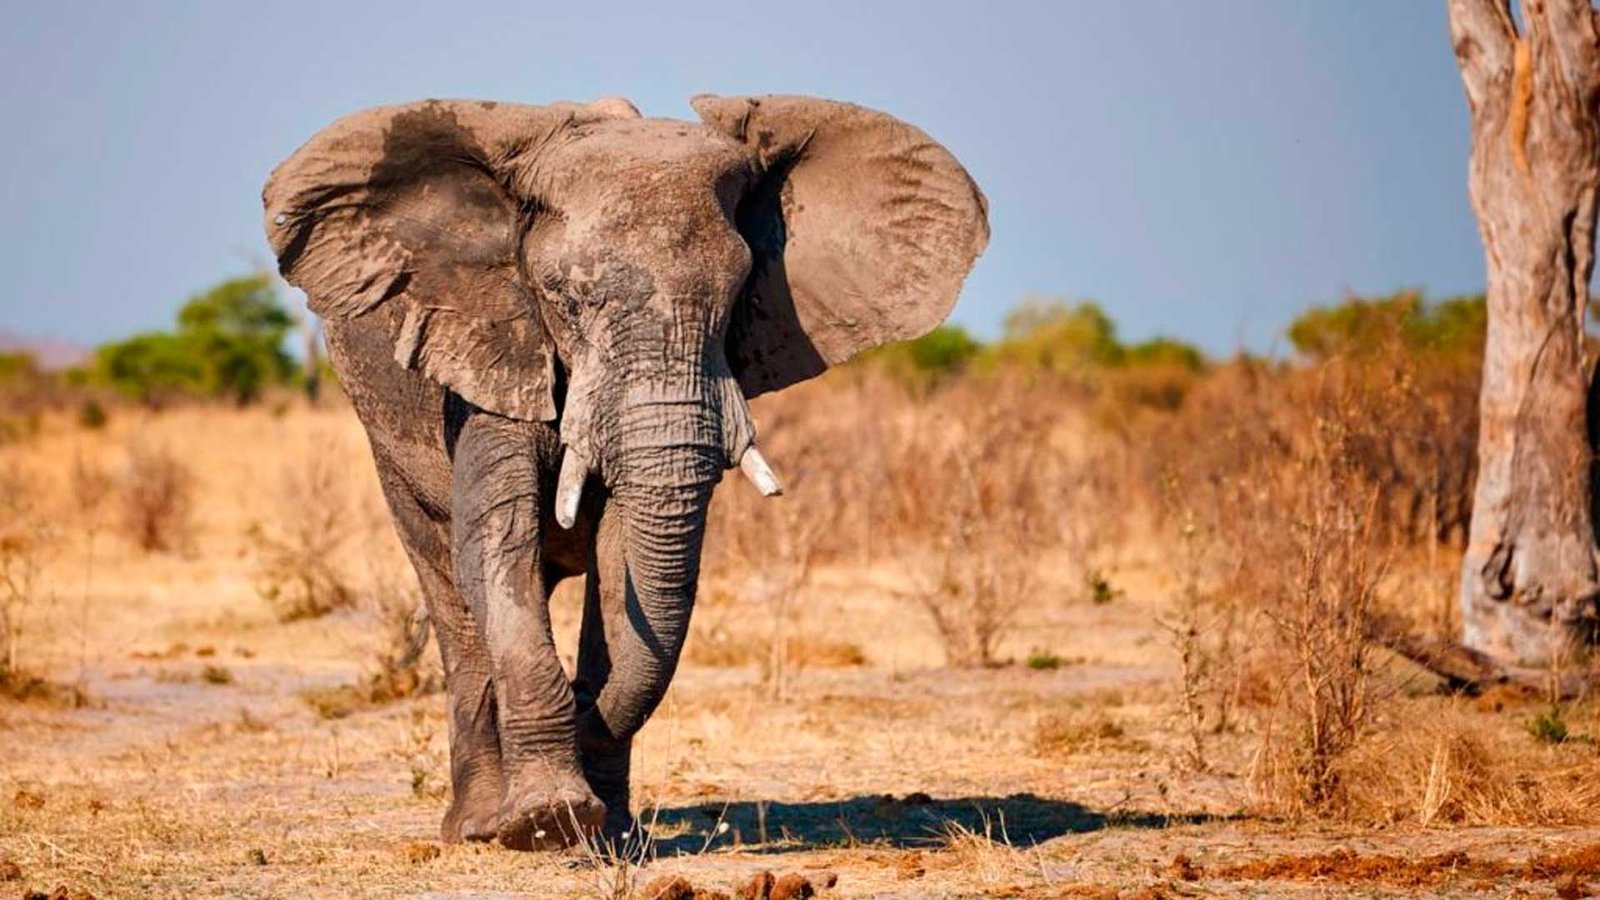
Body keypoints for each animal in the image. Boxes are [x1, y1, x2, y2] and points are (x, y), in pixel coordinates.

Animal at [261, 93, 988, 850]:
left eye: (738, 295)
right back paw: (476, 825)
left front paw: (596, 825)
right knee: (447, 586)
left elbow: (622, 563)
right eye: (565, 298)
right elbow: (497, 543)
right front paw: (546, 822)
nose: (584, 718)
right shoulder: (491, 349)